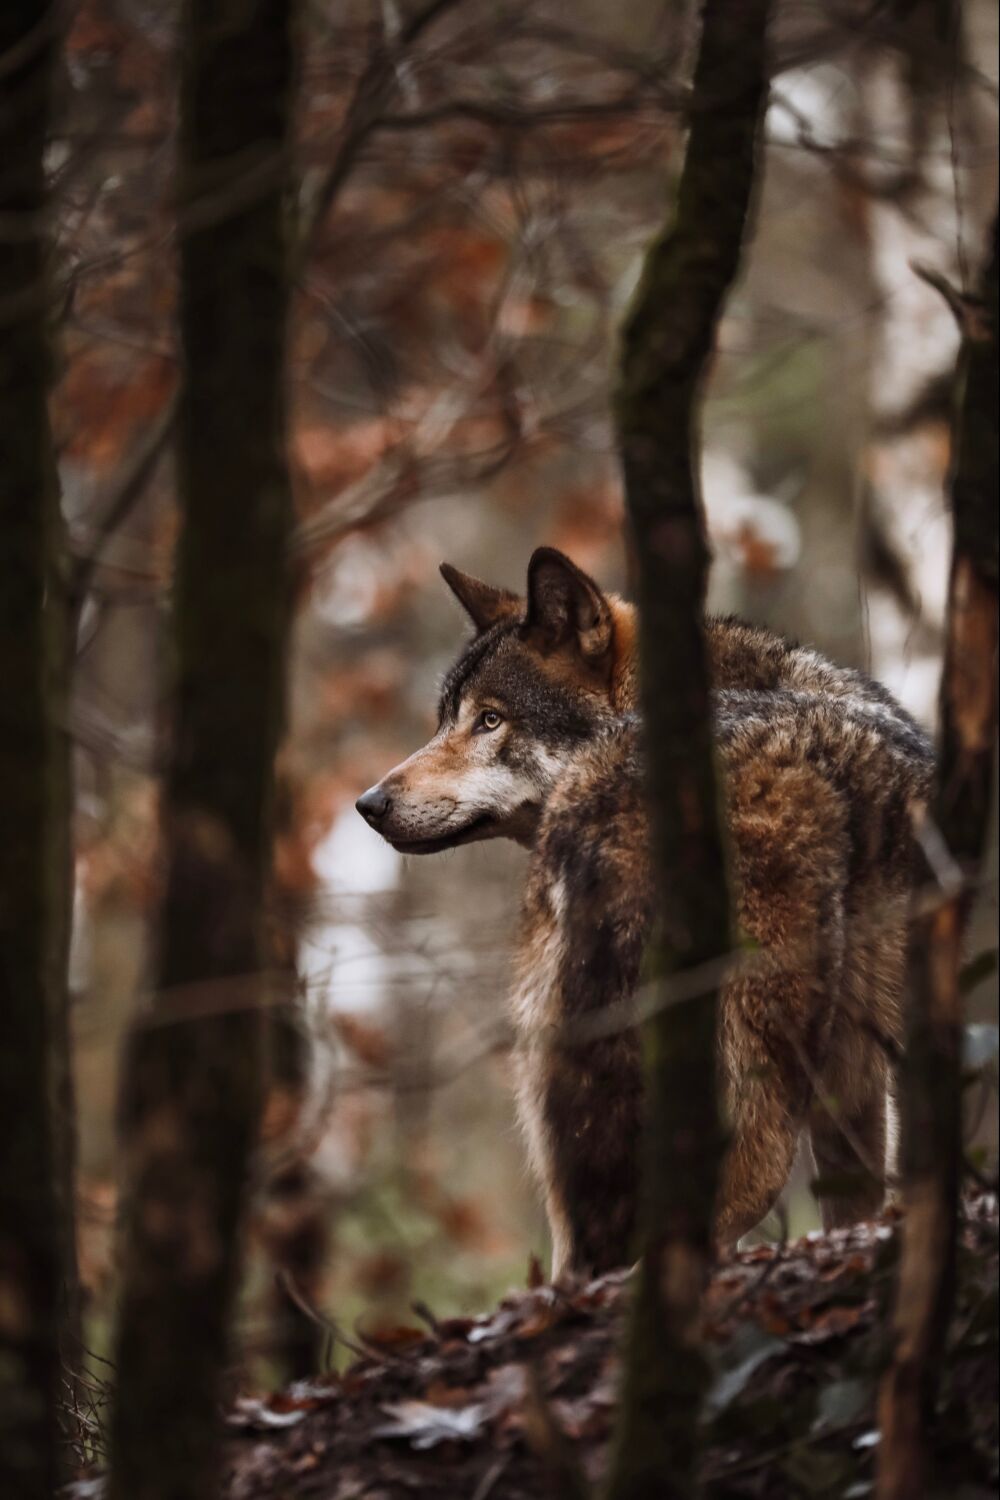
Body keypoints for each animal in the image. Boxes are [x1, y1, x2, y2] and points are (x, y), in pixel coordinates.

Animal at [355, 552, 935, 1278]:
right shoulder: (870, 1076)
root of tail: (621, 789)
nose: (368, 804)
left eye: (489, 720)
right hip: (753, 1121)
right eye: (446, 721)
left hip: (562, 1111)